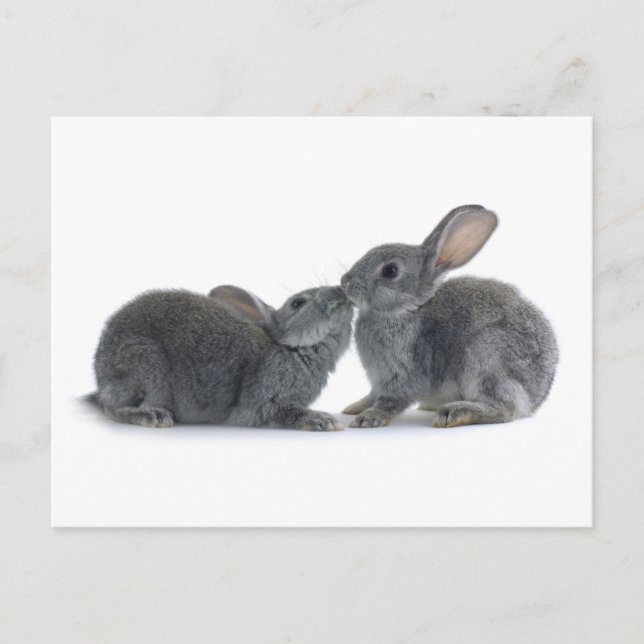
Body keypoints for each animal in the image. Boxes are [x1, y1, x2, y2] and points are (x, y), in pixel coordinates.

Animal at [87, 284, 353, 430]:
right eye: (298, 303)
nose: (341, 290)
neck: (291, 348)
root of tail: (101, 379)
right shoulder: (266, 402)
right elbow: (285, 413)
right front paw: (323, 421)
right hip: (145, 365)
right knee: (111, 408)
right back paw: (151, 416)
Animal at [340, 204, 558, 428]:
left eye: (390, 271)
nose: (345, 281)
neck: (407, 309)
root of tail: (536, 397)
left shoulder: (403, 374)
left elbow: (390, 401)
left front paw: (369, 417)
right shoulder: (378, 381)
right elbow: (371, 395)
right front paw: (354, 407)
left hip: (487, 358)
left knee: (506, 408)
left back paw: (454, 412)